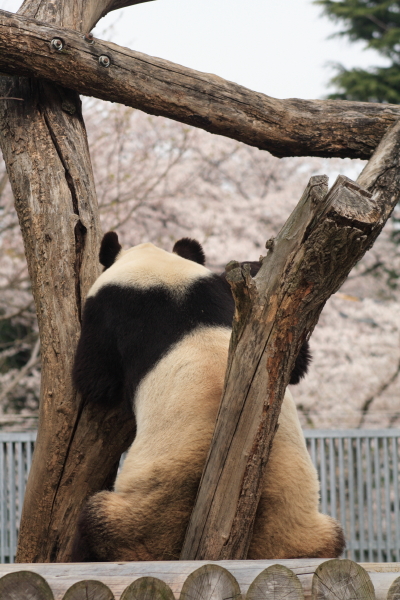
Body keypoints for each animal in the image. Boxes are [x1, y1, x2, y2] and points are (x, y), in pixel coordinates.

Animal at [70, 232, 346, 560]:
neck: (159, 273)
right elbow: (292, 362)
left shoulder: (110, 311)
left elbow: (96, 377)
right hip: (303, 532)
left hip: (145, 520)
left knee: (95, 523)